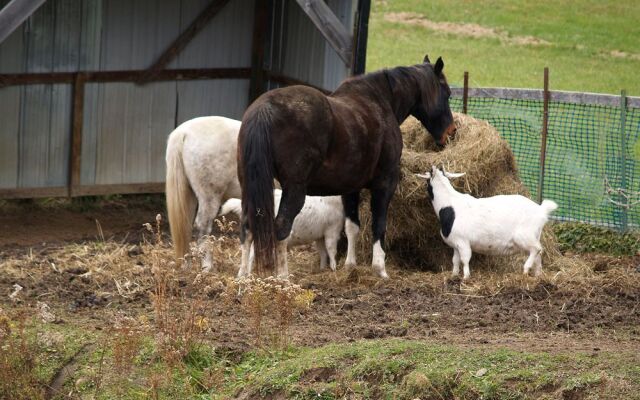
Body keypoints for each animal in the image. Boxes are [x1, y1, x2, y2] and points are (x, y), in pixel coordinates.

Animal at [222, 189, 358, 276]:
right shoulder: (332, 229)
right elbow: (331, 249)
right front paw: (334, 268)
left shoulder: (320, 234)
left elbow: (323, 251)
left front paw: (322, 268)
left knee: (250, 252)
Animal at [239, 55, 456, 278]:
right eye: (447, 94)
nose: (452, 131)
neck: (380, 101)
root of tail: (264, 109)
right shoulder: (385, 182)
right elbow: (379, 226)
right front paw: (380, 269)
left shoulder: (350, 187)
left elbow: (352, 226)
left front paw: (350, 265)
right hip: (294, 190)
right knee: (281, 228)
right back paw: (282, 277)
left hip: (249, 186)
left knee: (247, 228)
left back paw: (243, 276)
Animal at [418, 165, 556, 278]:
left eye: (427, 180)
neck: (449, 205)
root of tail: (541, 210)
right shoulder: (455, 244)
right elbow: (455, 261)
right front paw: (454, 276)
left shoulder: (463, 242)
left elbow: (465, 259)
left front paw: (466, 277)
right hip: (535, 235)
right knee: (538, 255)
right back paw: (537, 275)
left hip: (524, 236)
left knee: (537, 249)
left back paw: (526, 269)